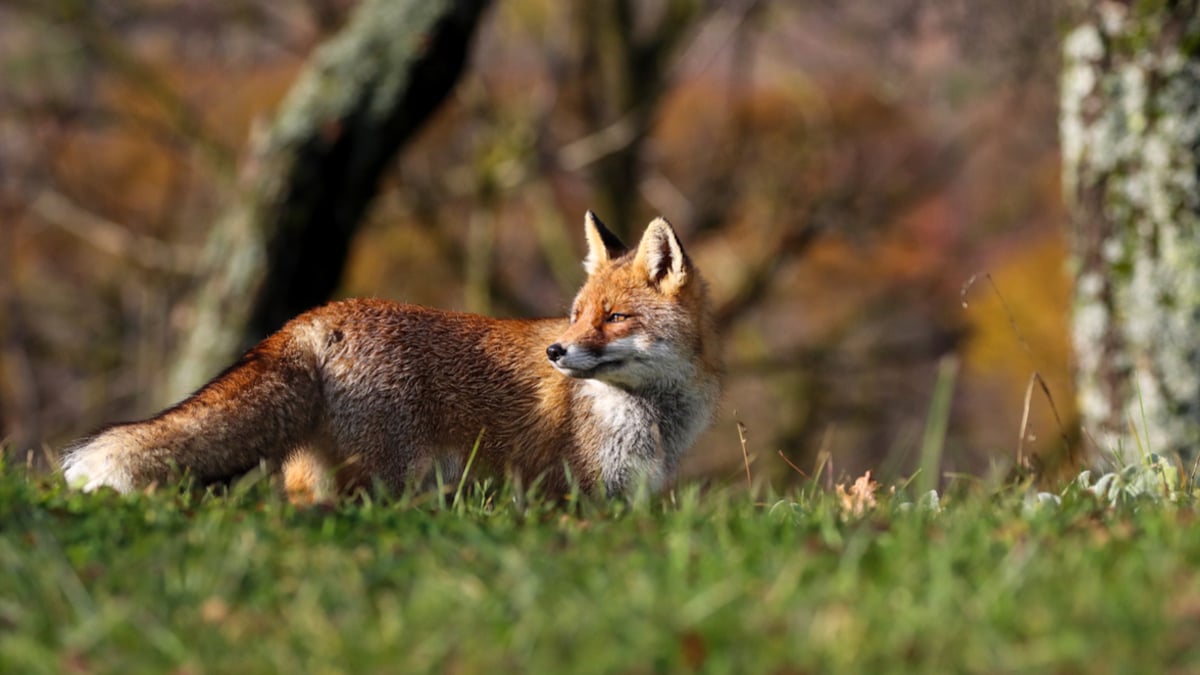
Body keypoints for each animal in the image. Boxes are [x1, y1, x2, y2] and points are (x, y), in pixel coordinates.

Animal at [63, 211, 720, 499]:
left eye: (614, 318)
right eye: (580, 313)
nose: (557, 351)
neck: (651, 417)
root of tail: (312, 317)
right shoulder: (577, 493)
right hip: (384, 477)